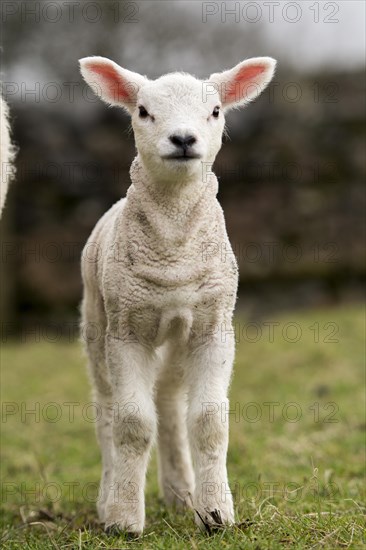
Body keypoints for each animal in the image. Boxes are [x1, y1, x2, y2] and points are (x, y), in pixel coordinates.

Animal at [79, 55, 274, 536]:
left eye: (216, 111)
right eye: (143, 111)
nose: (183, 139)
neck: (173, 254)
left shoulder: (213, 326)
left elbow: (208, 421)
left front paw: (217, 514)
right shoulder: (127, 329)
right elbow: (132, 423)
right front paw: (124, 521)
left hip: (173, 338)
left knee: (168, 404)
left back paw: (182, 495)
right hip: (96, 323)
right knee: (106, 409)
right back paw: (107, 498)